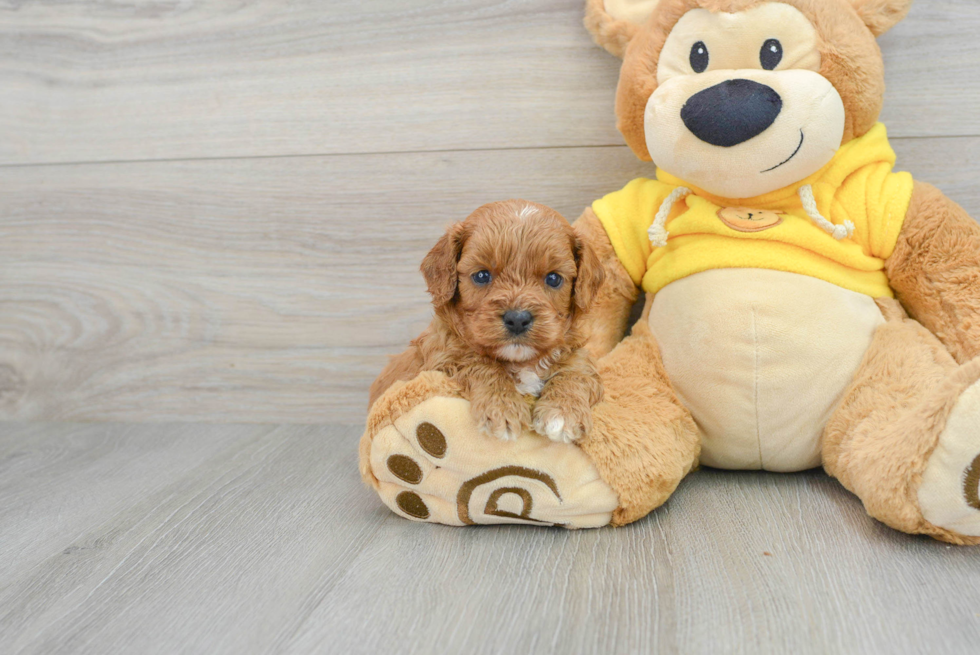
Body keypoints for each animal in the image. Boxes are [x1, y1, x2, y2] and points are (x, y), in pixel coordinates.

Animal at [372, 200, 608, 444]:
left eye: (553, 278)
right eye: (482, 276)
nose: (517, 319)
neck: (521, 362)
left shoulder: (575, 354)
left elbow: (577, 372)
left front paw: (563, 412)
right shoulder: (442, 358)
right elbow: (480, 363)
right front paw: (503, 407)